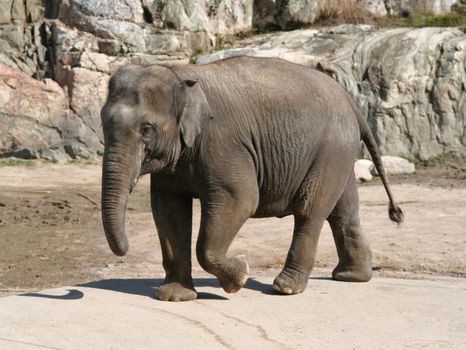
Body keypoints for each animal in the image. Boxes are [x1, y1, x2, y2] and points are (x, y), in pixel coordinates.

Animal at [100, 56, 402, 302]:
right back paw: (351, 277)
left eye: (146, 130)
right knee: (344, 210)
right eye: (102, 123)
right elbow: (168, 210)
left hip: (331, 147)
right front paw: (175, 296)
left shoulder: (223, 143)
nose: (125, 248)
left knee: (310, 211)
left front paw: (240, 277)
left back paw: (286, 288)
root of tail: (350, 100)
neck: (179, 73)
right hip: (338, 151)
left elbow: (241, 199)